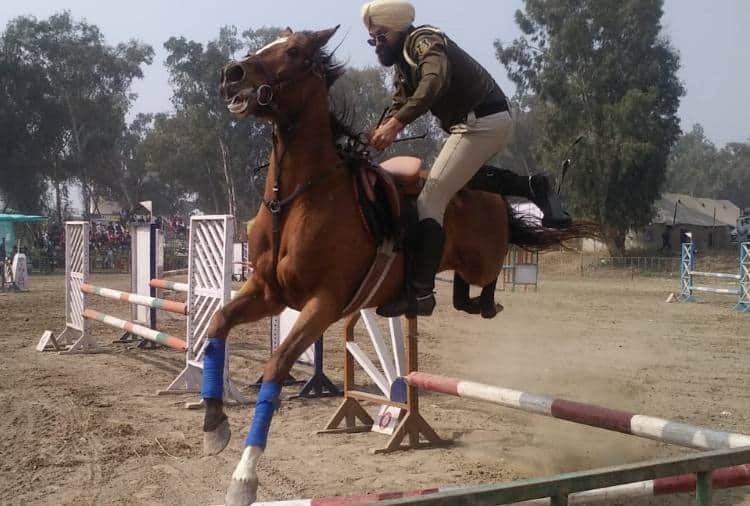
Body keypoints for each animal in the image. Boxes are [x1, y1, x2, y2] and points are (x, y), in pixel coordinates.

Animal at [205, 26, 593, 505]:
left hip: (483, 251)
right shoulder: (267, 293)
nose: (231, 74)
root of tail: (489, 198)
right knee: (463, 287)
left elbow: (277, 365)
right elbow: (217, 324)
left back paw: (533, 213)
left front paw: (244, 476)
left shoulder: (323, 304)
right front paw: (214, 426)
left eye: (292, 51)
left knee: (488, 276)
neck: (297, 196)